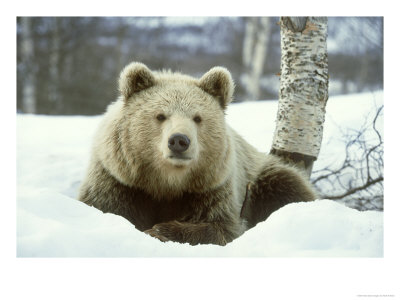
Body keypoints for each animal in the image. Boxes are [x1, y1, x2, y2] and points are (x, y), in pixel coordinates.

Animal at [78, 61, 316, 246]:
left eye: (197, 117)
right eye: (160, 115)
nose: (179, 141)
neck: (166, 183)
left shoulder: (211, 188)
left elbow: (221, 228)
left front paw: (160, 230)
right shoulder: (119, 183)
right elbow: (106, 207)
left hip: (263, 178)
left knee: (289, 188)